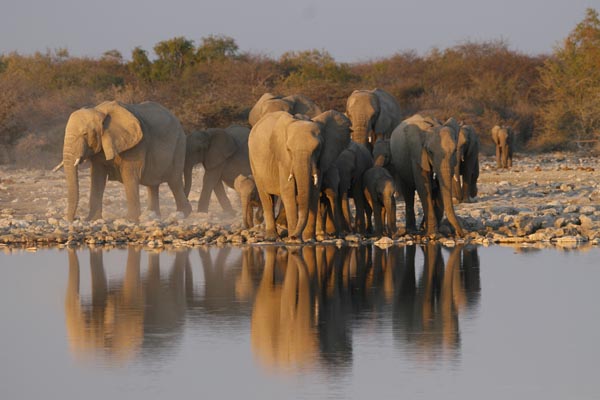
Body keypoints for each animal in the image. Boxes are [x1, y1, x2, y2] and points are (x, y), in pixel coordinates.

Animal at [57, 100, 191, 222]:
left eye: (85, 134)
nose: (75, 218)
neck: (99, 111)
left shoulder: (136, 144)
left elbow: (129, 175)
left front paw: (130, 220)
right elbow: (97, 177)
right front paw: (92, 220)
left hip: (179, 145)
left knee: (174, 181)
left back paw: (182, 214)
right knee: (153, 184)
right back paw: (153, 216)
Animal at [248, 108, 352, 241]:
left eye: (317, 149)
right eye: (288, 149)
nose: (293, 236)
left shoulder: (320, 161)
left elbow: (314, 192)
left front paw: (309, 239)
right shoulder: (283, 159)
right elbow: (288, 191)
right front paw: (295, 240)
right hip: (254, 164)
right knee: (266, 197)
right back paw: (272, 237)